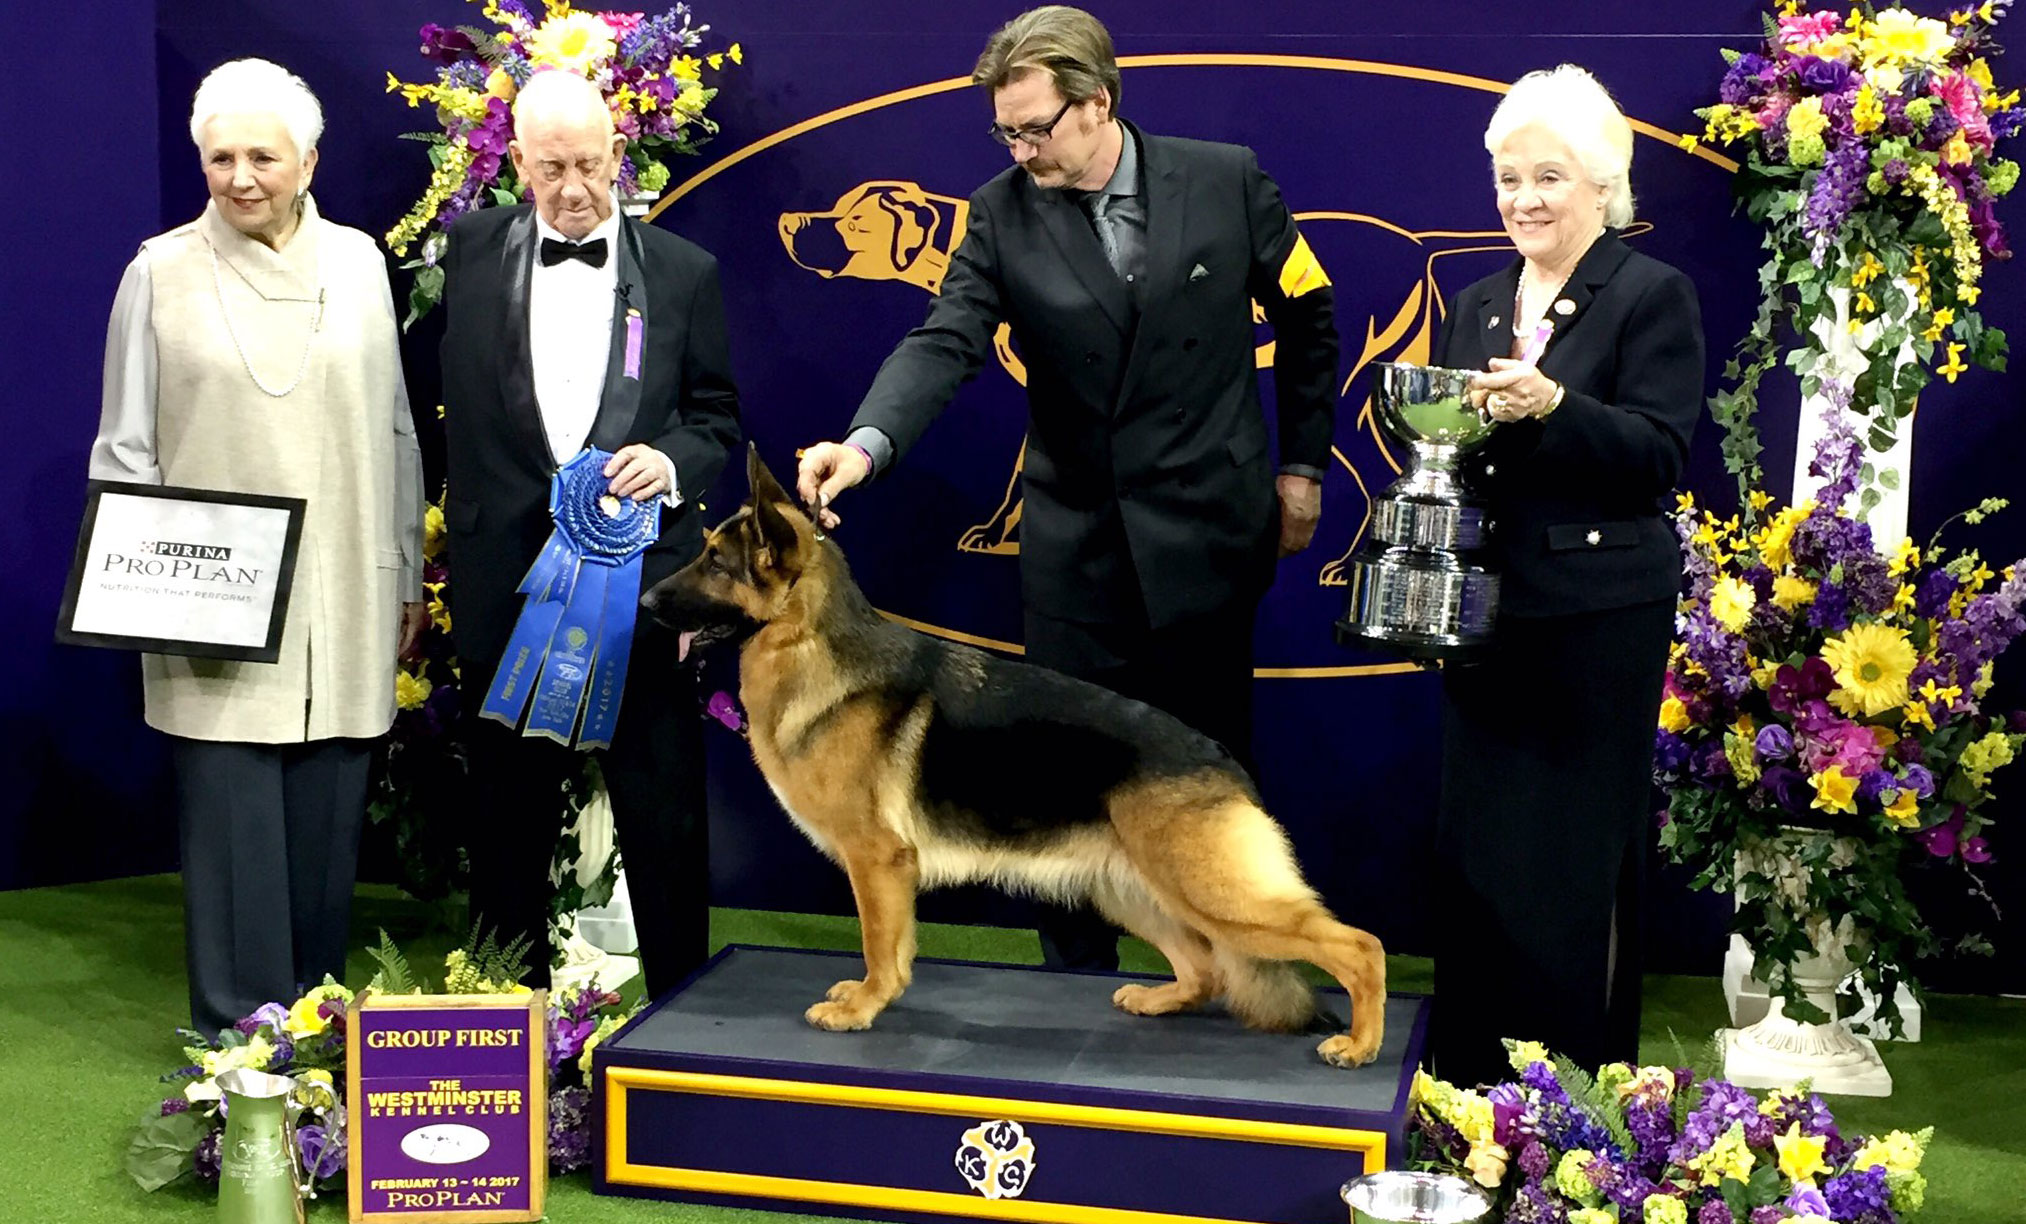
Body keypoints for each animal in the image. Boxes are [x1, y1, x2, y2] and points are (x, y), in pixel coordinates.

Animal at [640, 451, 1385, 1069]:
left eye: (714, 563)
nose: (644, 600)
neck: (811, 642)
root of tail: (1224, 762)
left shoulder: (878, 862)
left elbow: (882, 946)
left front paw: (864, 1008)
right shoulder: (886, 870)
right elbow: (895, 948)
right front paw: (872, 998)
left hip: (1216, 895)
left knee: (1359, 947)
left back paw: (1360, 1044)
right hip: (1131, 891)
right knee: (1204, 969)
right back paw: (1160, 999)